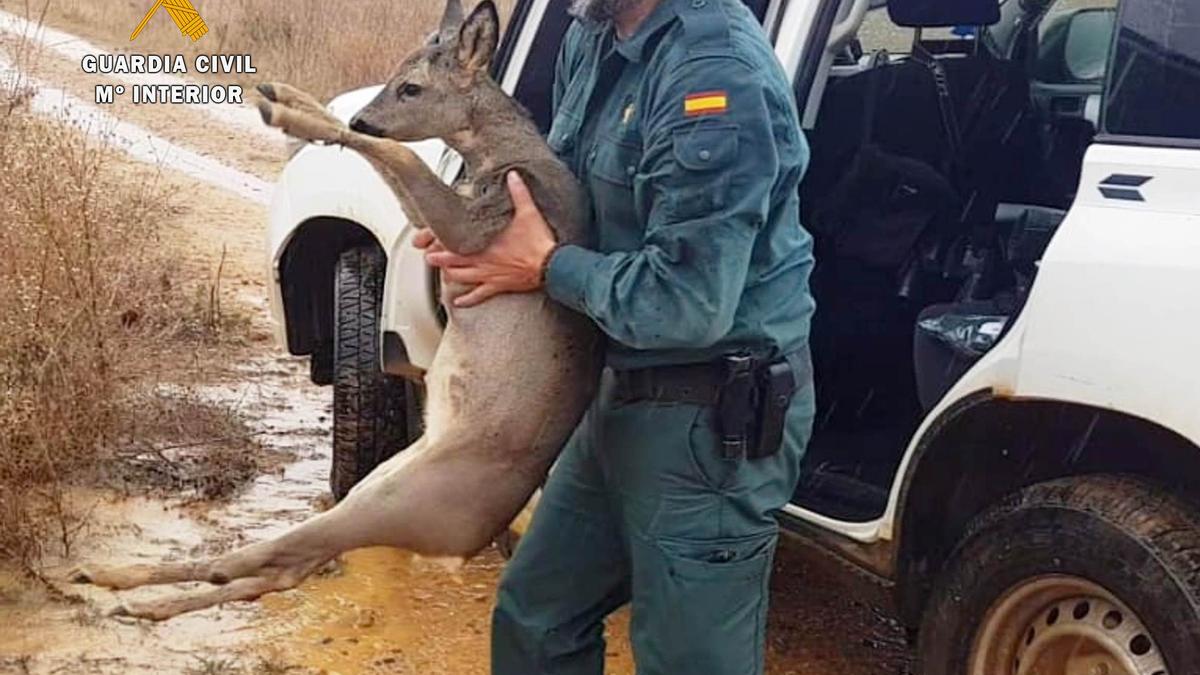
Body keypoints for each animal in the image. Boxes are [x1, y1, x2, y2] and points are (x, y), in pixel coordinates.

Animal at [71, 0, 600, 619]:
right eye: (395, 78)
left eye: (412, 87)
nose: (368, 118)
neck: (507, 155)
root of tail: (471, 541)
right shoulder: (442, 229)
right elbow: (393, 164)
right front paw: (288, 98)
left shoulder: (483, 231)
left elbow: (399, 155)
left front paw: (286, 110)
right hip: (380, 486)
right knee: (286, 564)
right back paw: (120, 582)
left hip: (397, 500)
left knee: (274, 556)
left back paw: (135, 589)